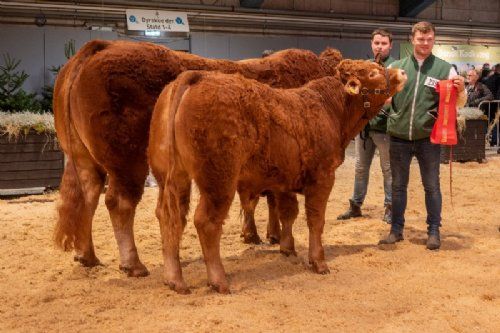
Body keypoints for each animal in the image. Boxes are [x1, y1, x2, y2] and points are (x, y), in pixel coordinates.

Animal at [53, 40, 344, 276]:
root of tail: (101, 46)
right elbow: (276, 202)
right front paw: (276, 238)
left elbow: (259, 200)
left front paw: (257, 234)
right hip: (127, 162)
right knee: (119, 203)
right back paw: (133, 264)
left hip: (84, 159)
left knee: (88, 197)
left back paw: (87, 255)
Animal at [147, 60, 406, 294]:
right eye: (372, 73)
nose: (402, 72)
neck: (331, 110)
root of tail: (196, 76)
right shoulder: (322, 177)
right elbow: (315, 220)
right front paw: (318, 262)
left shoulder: (284, 182)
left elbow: (288, 214)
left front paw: (287, 247)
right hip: (218, 181)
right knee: (206, 222)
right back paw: (218, 280)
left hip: (170, 177)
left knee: (169, 217)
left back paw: (174, 279)